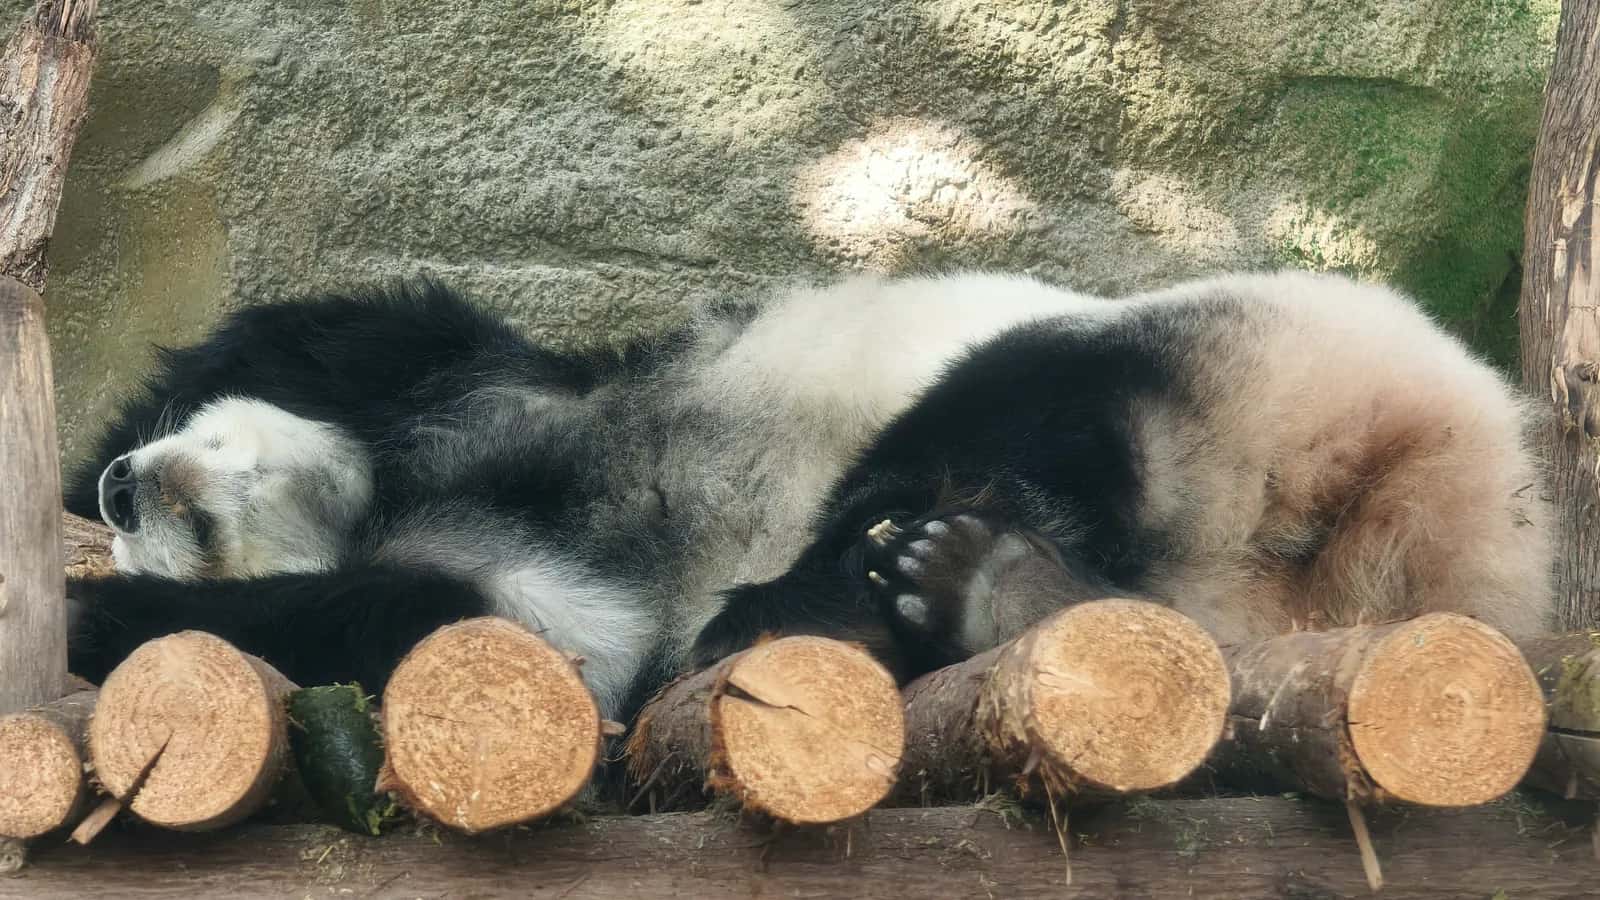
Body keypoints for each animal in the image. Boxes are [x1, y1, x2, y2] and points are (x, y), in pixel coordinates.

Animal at [64, 270, 1553, 724]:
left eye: (203, 472)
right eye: (157, 536)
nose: (127, 490)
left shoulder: (475, 380)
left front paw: (84, 617)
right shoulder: (542, 573)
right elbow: (482, 622)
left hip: (1260, 344)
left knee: (998, 404)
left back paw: (831, 609)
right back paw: (997, 597)